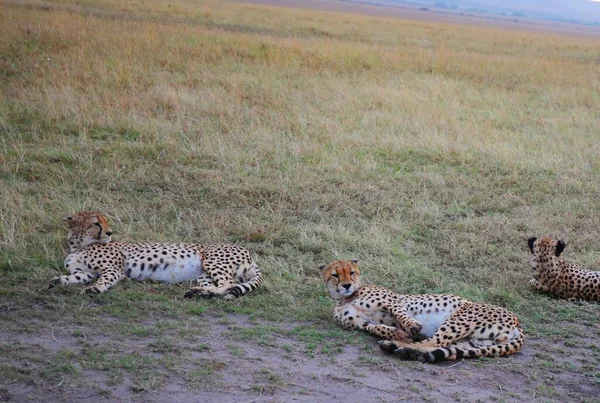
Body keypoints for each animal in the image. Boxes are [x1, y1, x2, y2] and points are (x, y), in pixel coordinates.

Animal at [47, 211, 262, 300]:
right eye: (96, 223)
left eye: (105, 222)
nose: (110, 233)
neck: (79, 245)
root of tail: (250, 254)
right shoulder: (85, 273)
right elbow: (73, 277)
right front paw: (56, 281)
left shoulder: (113, 270)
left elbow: (104, 280)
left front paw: (95, 289)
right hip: (204, 275)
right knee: (221, 286)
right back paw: (199, 293)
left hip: (212, 260)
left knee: (229, 284)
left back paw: (199, 293)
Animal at [322, 260, 524, 364]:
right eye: (335, 275)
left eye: (352, 272)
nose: (346, 285)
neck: (346, 298)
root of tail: (517, 322)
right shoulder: (362, 323)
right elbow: (376, 327)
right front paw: (398, 334)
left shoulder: (395, 301)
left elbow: (402, 315)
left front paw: (409, 329)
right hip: (472, 341)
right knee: (446, 349)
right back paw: (407, 350)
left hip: (460, 317)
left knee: (434, 341)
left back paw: (397, 347)